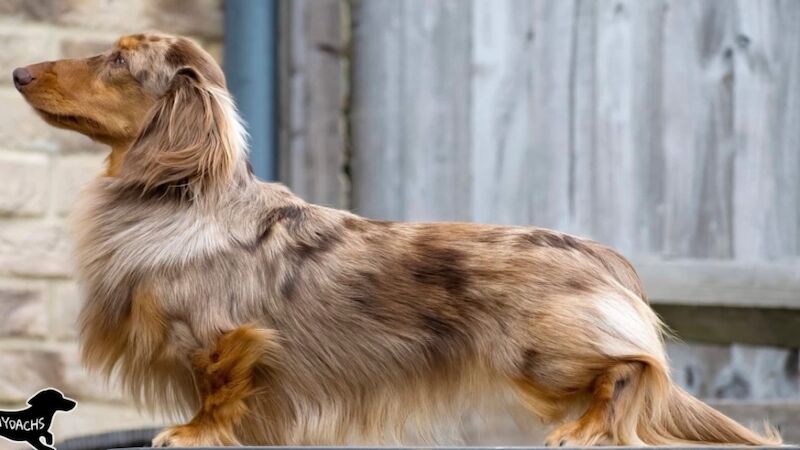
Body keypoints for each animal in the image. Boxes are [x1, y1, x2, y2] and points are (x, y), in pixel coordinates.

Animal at [9, 34, 780, 446]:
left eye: (117, 61)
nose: (16, 71)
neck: (183, 202)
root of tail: (607, 260)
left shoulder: (228, 339)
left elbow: (220, 391)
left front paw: (194, 431)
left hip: (541, 356)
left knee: (629, 370)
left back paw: (585, 427)